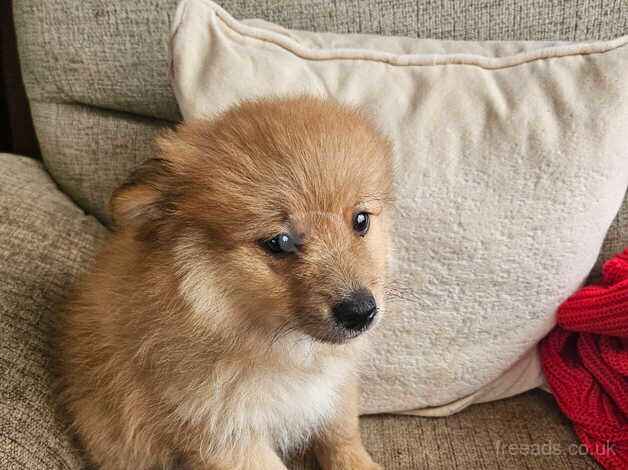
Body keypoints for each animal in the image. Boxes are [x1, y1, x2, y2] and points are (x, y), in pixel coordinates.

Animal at [57, 96, 392, 470]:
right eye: (280, 242)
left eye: (360, 221)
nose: (361, 311)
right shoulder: (222, 433)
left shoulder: (336, 391)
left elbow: (342, 437)